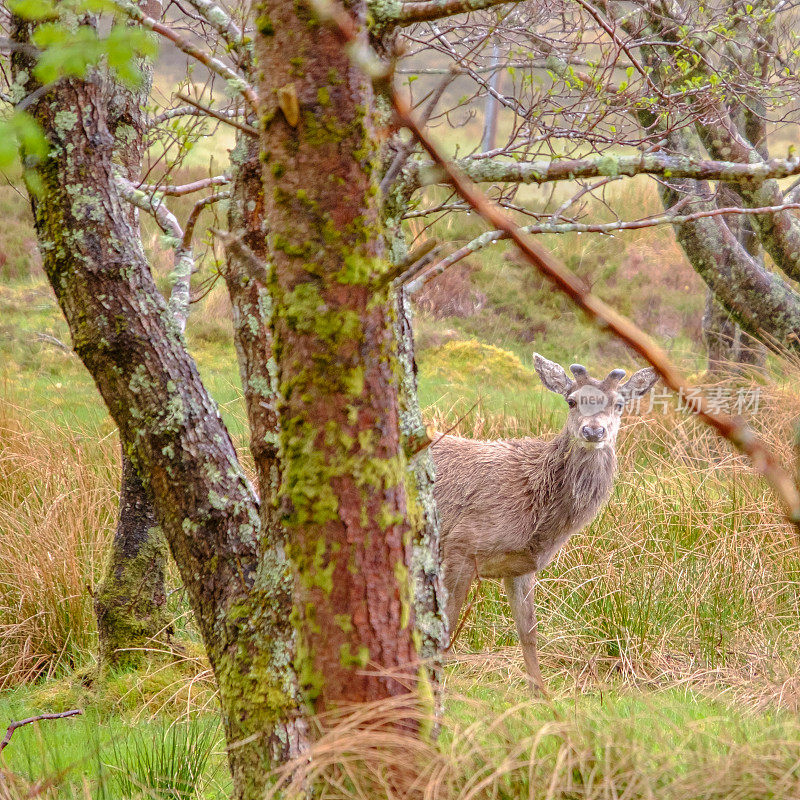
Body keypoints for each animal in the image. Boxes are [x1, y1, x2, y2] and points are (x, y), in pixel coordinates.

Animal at [432, 354, 656, 692]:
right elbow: (447, 625)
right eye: (571, 401)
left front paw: (540, 692)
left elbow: (528, 632)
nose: (593, 431)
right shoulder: (462, 543)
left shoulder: (521, 566)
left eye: (619, 404)